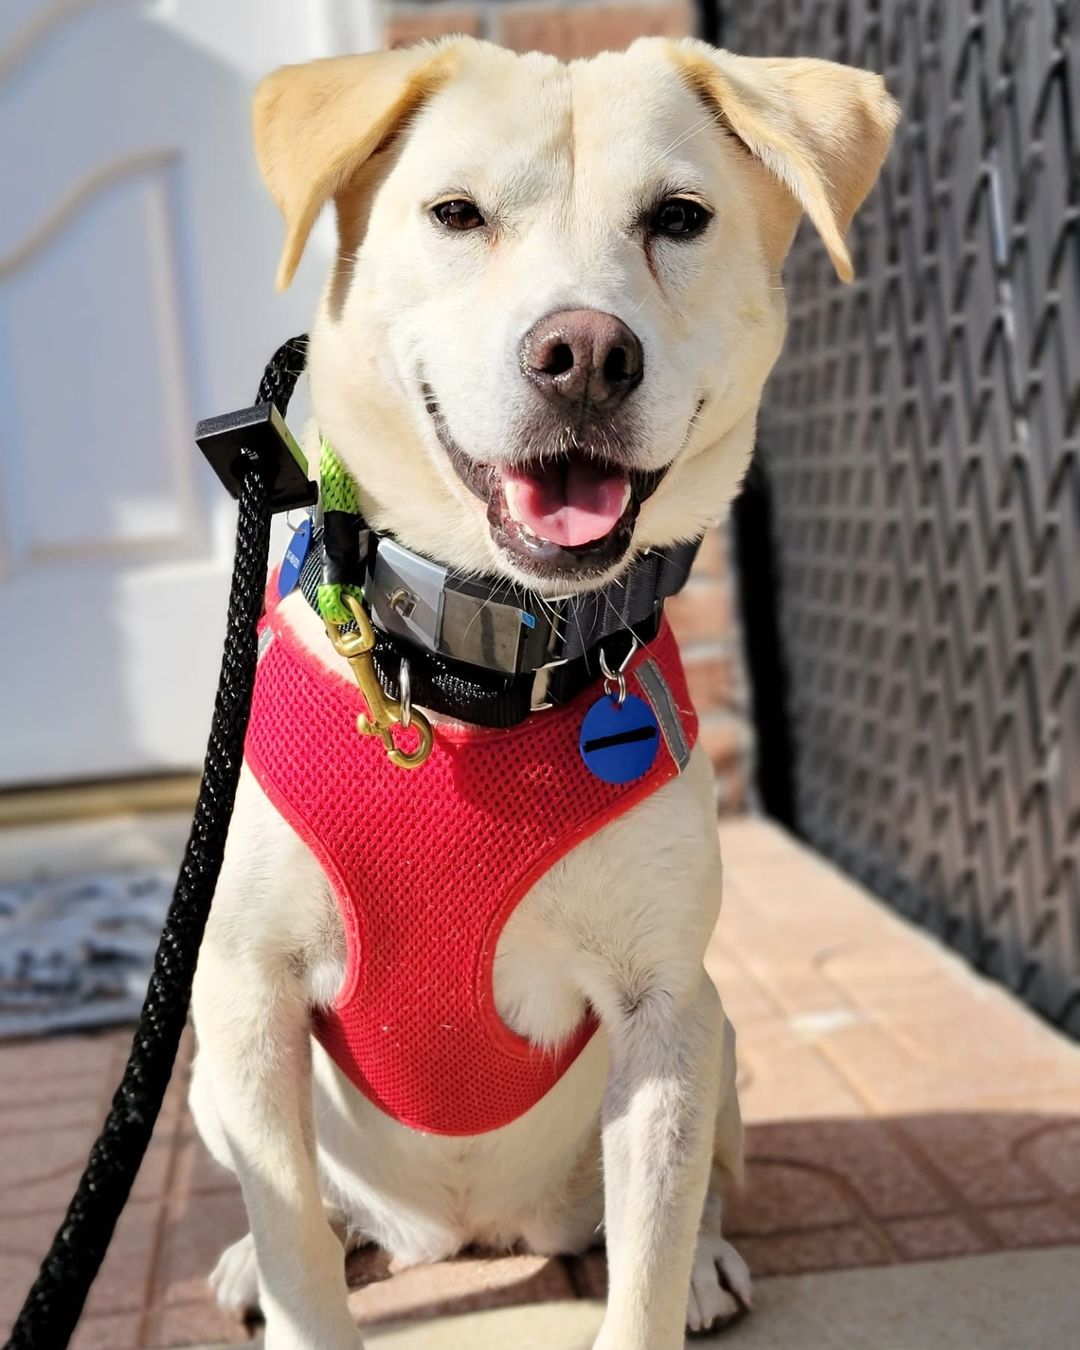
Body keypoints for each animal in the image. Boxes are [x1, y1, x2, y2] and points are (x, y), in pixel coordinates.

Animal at [190, 36, 896, 1344]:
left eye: (680, 217)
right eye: (455, 214)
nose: (584, 355)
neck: (476, 659)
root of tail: (470, 1234)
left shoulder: (665, 1008)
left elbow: (648, 1264)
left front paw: (672, 1278)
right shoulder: (246, 997)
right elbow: (300, 1245)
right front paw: (283, 1273)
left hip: (720, 1037)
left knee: (682, 1202)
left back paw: (709, 1263)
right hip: (212, 1075)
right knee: (320, 1212)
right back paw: (256, 1262)